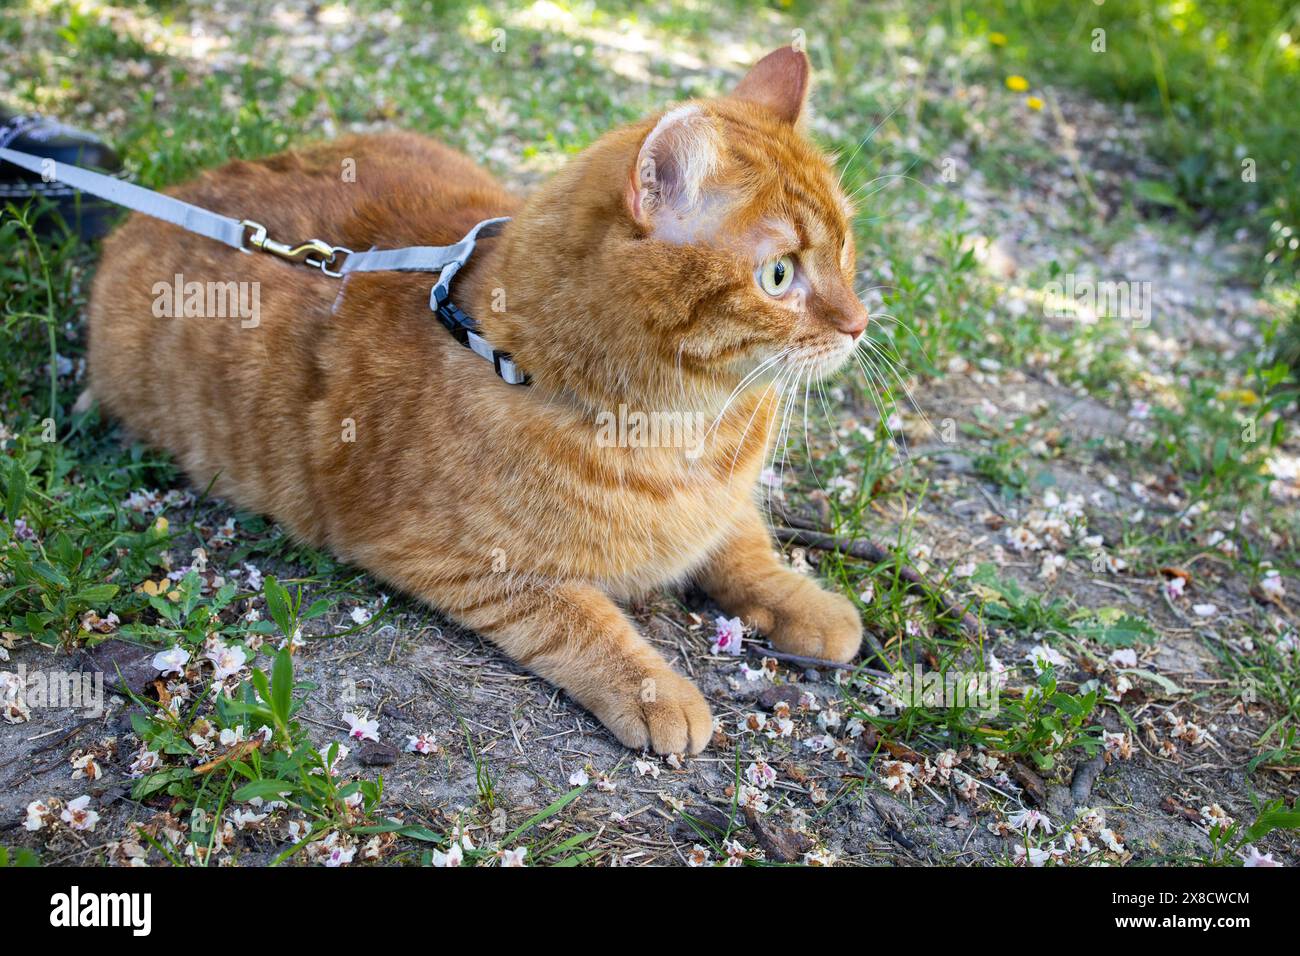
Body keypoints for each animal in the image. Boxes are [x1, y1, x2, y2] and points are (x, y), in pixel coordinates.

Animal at [86, 48, 868, 754]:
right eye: (778, 275)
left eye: (845, 250)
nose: (860, 323)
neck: (681, 431)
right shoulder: (459, 564)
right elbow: (579, 618)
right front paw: (657, 690)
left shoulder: (721, 506)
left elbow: (745, 544)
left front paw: (804, 602)